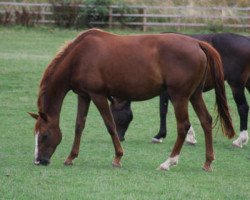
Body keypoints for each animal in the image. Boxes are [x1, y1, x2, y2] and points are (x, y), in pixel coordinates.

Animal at [28, 28, 234, 171]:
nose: (38, 161)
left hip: (179, 96)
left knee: (183, 126)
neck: (80, 55)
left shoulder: (98, 95)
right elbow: (79, 125)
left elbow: (110, 125)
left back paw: (168, 162)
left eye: (44, 135)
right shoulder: (84, 95)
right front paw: (71, 157)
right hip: (195, 95)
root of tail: (197, 43)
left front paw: (118, 157)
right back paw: (207, 162)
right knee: (206, 121)